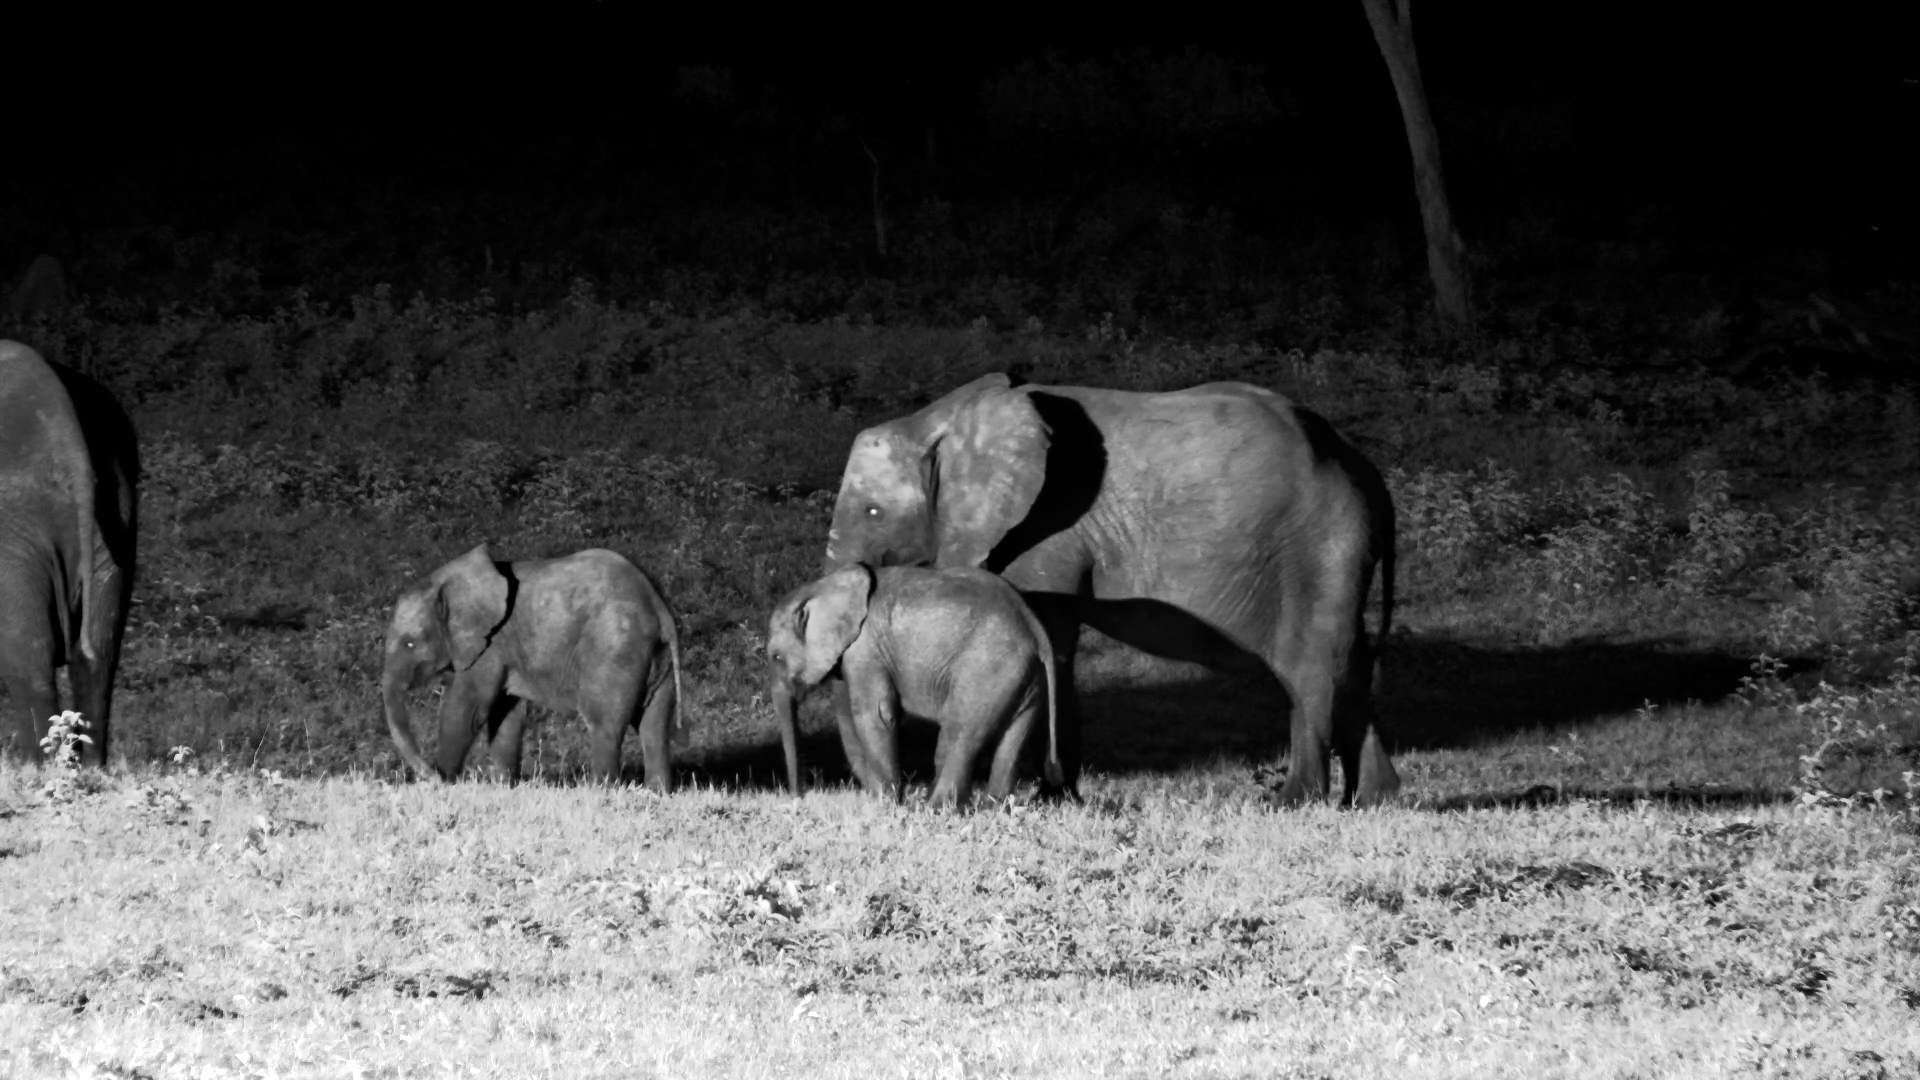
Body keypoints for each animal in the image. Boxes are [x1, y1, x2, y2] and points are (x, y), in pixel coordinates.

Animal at [0, 340, 138, 765]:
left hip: (16, 525)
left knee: (30, 652)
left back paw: (36, 765)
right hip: (115, 516)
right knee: (99, 654)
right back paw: (90, 766)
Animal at [382, 544, 682, 790]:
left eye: (410, 644)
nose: (429, 775)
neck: (445, 582)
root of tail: (658, 608)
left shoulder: (490, 645)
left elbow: (468, 709)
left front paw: (444, 784)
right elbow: (505, 714)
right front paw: (503, 787)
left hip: (615, 649)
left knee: (605, 723)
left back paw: (603, 791)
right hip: (655, 657)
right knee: (655, 723)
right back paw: (657, 793)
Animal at [765, 563, 1059, 807]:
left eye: (776, 657)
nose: (798, 799)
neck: (822, 587)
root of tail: (1035, 629)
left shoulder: (865, 650)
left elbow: (875, 715)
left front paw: (887, 805)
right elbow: (850, 718)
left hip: (987, 668)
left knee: (960, 734)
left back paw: (936, 809)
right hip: (1024, 677)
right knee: (1014, 738)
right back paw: (993, 808)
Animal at [822, 372, 1398, 808]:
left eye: (873, 513)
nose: (895, 796)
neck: (945, 419)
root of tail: (1368, 470)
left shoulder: (1047, 527)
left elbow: (1052, 642)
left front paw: (1049, 795)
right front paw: (1058, 797)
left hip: (1323, 544)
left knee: (1311, 666)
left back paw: (1293, 801)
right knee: (1344, 665)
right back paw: (1375, 800)